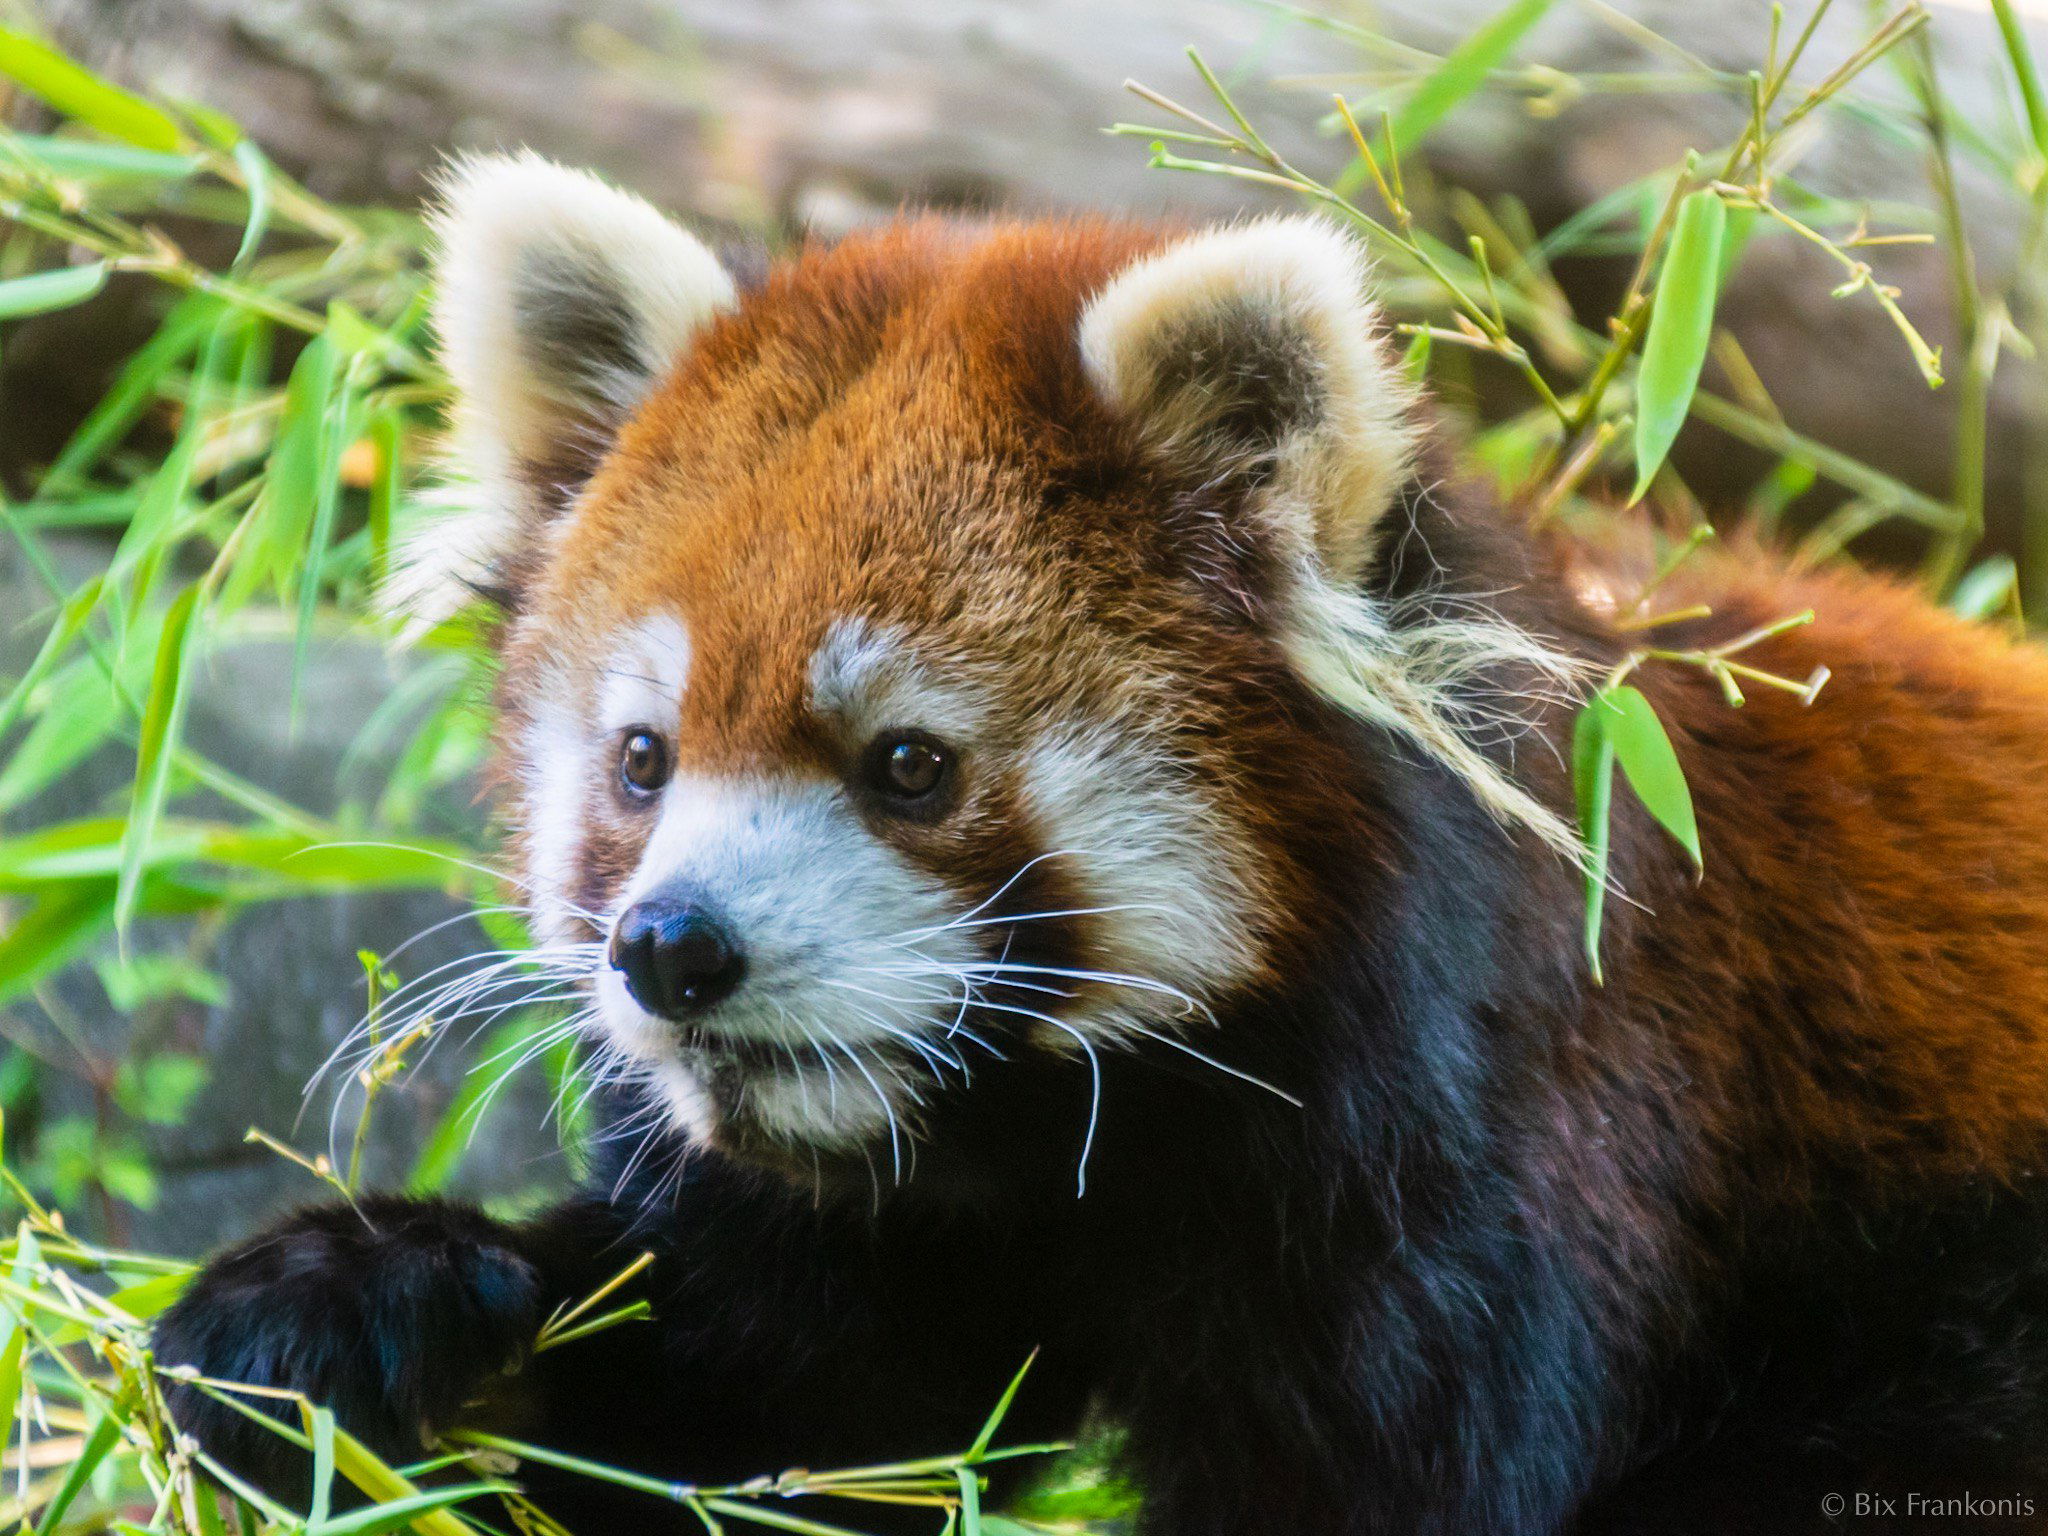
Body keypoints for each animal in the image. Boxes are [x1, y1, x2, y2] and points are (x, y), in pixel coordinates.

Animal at [155, 156, 2048, 1536]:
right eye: (641, 759)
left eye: (907, 765)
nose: (674, 949)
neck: (1072, 1144)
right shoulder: (856, 1242)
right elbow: (754, 1427)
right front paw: (348, 1311)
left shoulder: (1515, 1180)